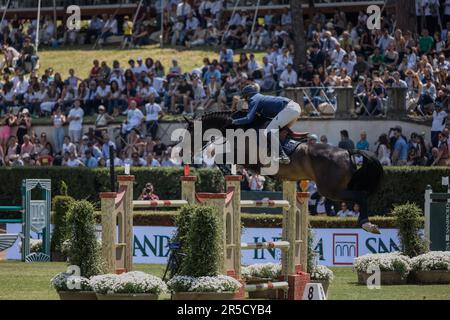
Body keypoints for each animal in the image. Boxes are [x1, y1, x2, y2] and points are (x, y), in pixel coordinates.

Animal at [185, 111, 384, 234]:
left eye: (190, 131)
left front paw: (230, 172)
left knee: (360, 196)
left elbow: (220, 157)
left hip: (331, 190)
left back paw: (367, 224)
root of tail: (347, 152)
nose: (184, 152)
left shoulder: (247, 157)